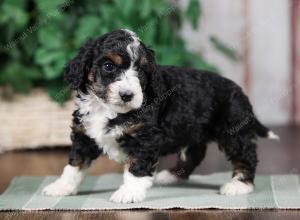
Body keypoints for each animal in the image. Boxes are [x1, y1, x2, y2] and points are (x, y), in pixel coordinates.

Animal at [41, 28, 278, 203]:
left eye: (141, 71)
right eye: (108, 66)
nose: (127, 95)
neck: (108, 109)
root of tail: (240, 91)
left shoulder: (144, 138)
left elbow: (136, 167)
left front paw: (129, 192)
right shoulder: (84, 135)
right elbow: (74, 164)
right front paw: (60, 187)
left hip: (233, 131)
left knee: (245, 156)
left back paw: (239, 185)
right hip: (193, 132)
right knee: (194, 154)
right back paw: (170, 176)